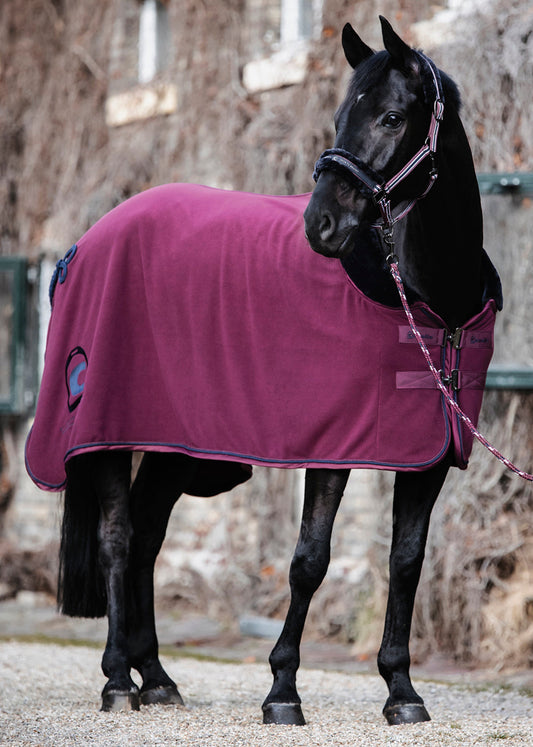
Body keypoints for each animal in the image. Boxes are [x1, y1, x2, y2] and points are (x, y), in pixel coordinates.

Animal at [25, 17, 501, 726]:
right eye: (339, 115)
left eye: (392, 116)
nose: (320, 224)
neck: (431, 299)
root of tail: (83, 244)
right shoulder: (333, 447)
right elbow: (309, 560)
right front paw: (282, 690)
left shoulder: (431, 454)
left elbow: (406, 560)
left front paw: (402, 691)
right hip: (103, 433)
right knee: (117, 538)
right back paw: (117, 680)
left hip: (177, 446)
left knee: (146, 538)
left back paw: (156, 677)